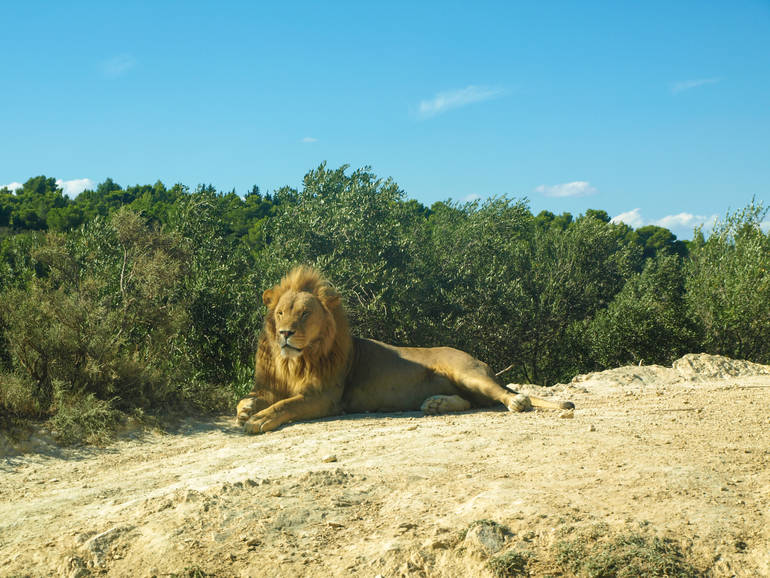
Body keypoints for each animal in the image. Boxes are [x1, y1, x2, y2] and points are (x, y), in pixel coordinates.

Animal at [236, 266, 574, 434]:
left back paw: (515, 401)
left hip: (467, 373)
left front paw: (258, 420)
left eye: (305, 314)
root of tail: (479, 361)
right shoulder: (273, 386)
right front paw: (246, 411)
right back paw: (436, 404)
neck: (294, 361)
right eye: (280, 313)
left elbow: (286, 405)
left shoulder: (326, 397)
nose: (285, 333)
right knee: (473, 402)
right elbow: (251, 399)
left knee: (507, 396)